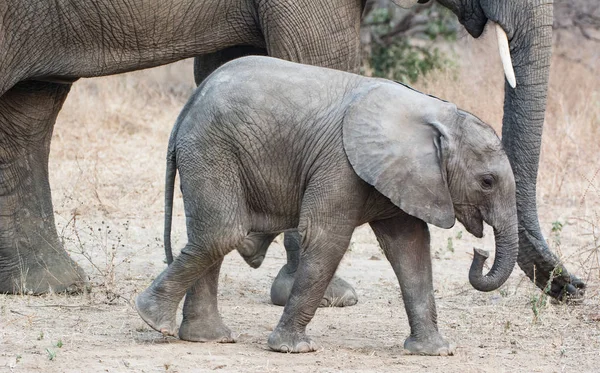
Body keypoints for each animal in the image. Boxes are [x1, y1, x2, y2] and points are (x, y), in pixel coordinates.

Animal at [0, 0, 584, 300]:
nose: (577, 288)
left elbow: (232, 65)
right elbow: (320, 55)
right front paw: (330, 296)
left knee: (29, 110)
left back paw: (49, 287)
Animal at [135, 56, 516, 354]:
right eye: (487, 181)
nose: (480, 253)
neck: (438, 115)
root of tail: (189, 104)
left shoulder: (403, 177)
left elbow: (411, 248)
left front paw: (435, 351)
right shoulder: (340, 164)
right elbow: (326, 239)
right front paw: (293, 348)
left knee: (212, 236)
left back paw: (205, 338)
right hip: (212, 148)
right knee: (221, 232)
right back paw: (153, 320)